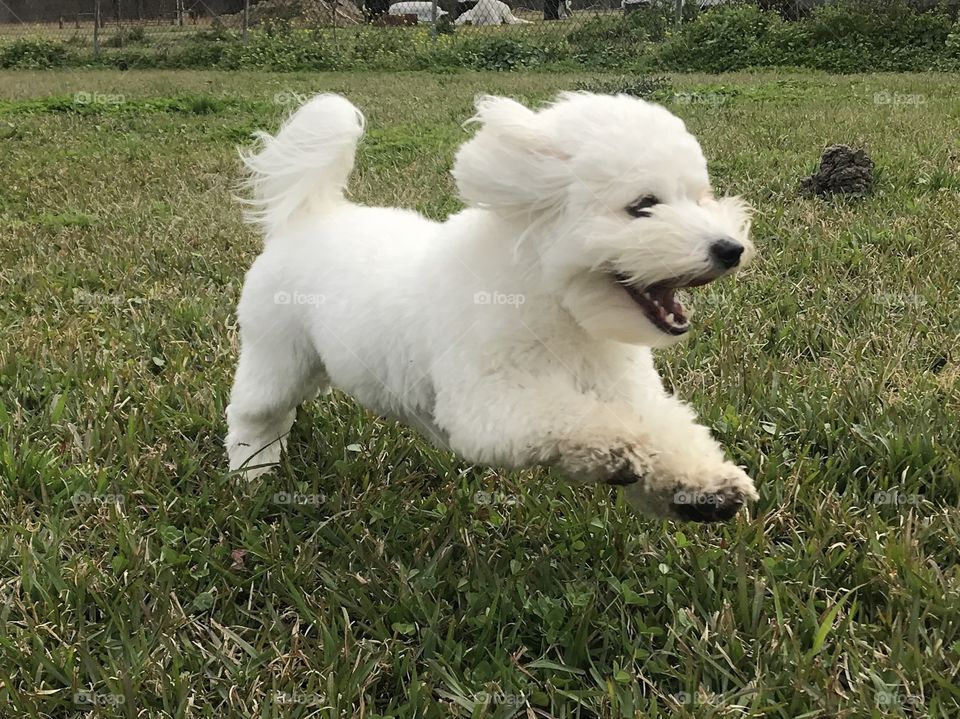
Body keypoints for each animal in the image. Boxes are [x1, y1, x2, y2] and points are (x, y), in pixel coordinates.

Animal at [225, 94, 756, 524]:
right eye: (642, 205)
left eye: (700, 198)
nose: (730, 249)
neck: (559, 309)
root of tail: (308, 216)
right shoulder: (486, 403)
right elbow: (571, 417)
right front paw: (618, 447)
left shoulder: (630, 391)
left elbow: (670, 431)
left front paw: (701, 486)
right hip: (277, 355)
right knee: (252, 413)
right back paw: (252, 471)